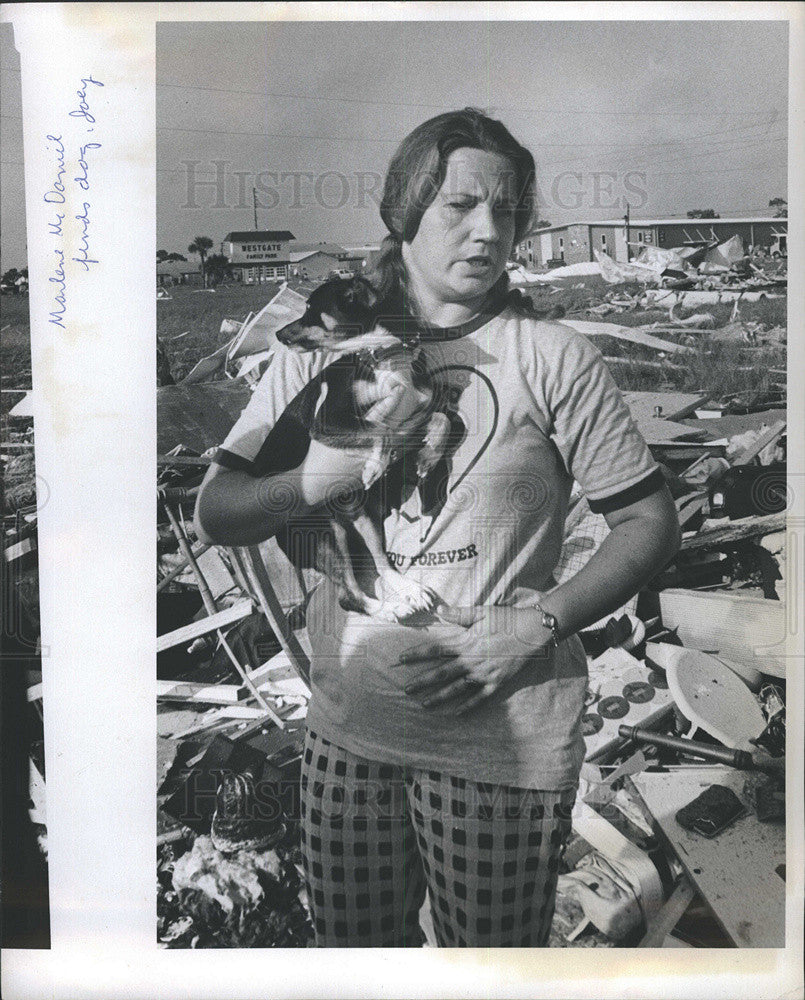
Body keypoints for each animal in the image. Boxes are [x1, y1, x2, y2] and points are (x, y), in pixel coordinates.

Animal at [264, 274, 452, 616]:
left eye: (310, 309)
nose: (278, 334)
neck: (382, 357)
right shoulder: (327, 421)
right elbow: (379, 429)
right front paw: (375, 465)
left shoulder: (411, 419)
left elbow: (441, 418)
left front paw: (429, 456)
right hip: (325, 532)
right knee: (348, 596)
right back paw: (393, 610)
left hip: (361, 514)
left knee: (381, 566)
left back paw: (409, 593)